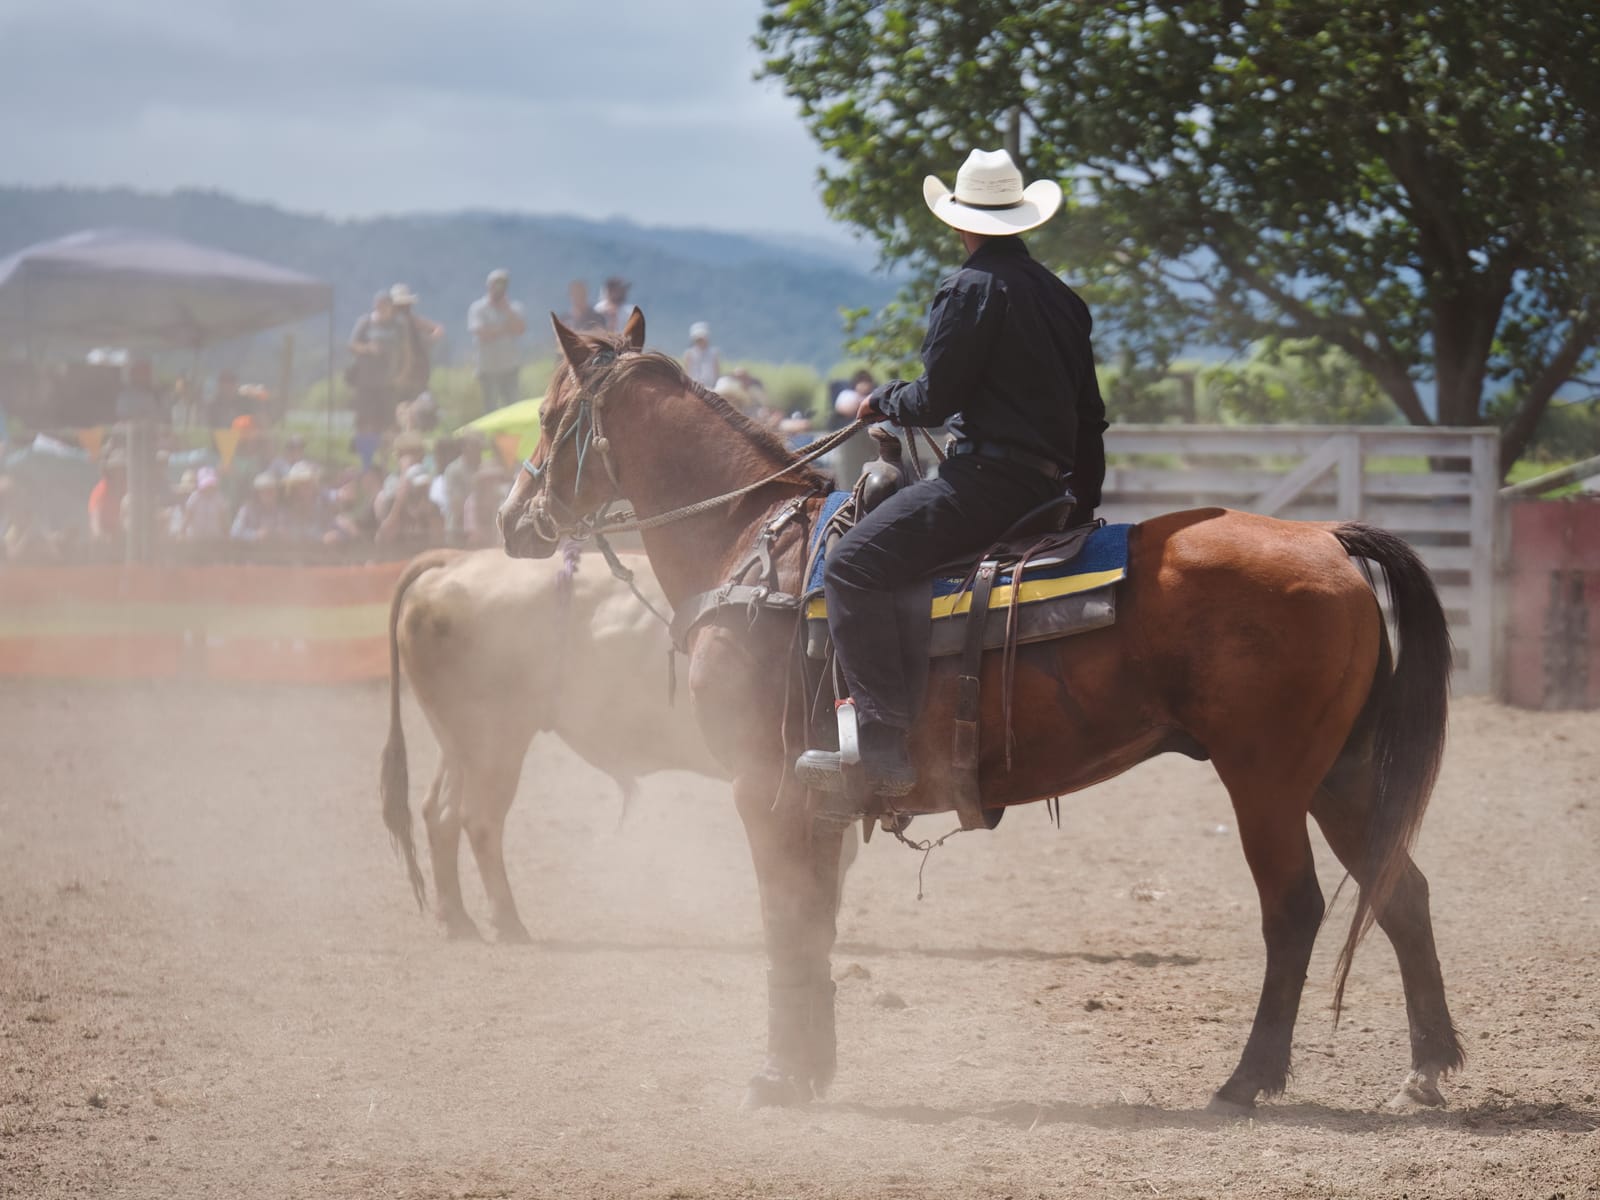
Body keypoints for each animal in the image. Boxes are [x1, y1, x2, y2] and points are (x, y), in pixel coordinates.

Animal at [499, 312, 1465, 1120]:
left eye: (548, 417)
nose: (513, 520)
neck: (753, 548)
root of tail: (1330, 541)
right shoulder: (813, 800)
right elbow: (814, 923)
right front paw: (812, 1067)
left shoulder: (760, 788)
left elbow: (785, 921)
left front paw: (777, 1076)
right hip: (1337, 775)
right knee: (1402, 891)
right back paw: (1428, 1068)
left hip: (1265, 781)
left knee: (1295, 910)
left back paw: (1247, 1080)